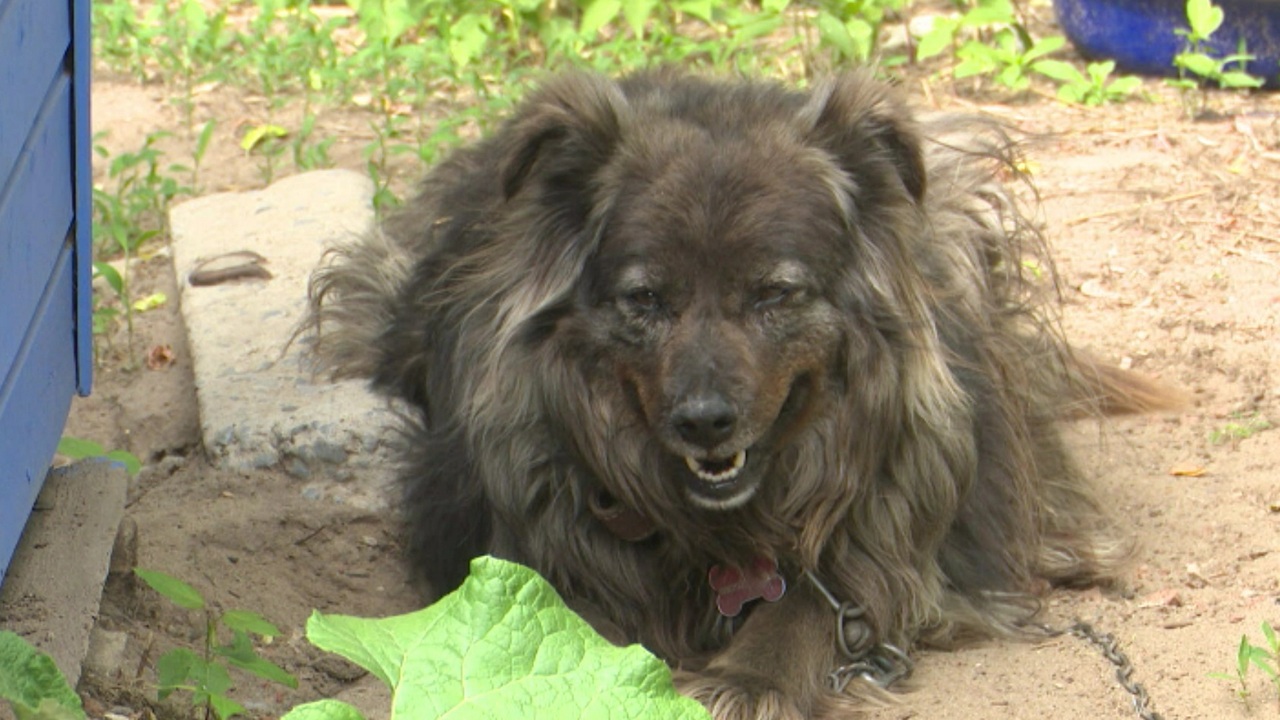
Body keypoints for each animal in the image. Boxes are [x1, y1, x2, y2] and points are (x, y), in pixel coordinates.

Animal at [302, 68, 1177, 717]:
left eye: (775, 294)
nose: (704, 423)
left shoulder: (883, 527)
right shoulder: (528, 538)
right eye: (645, 299)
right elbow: (559, 621)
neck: (718, 527)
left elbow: (819, 603)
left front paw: (747, 680)